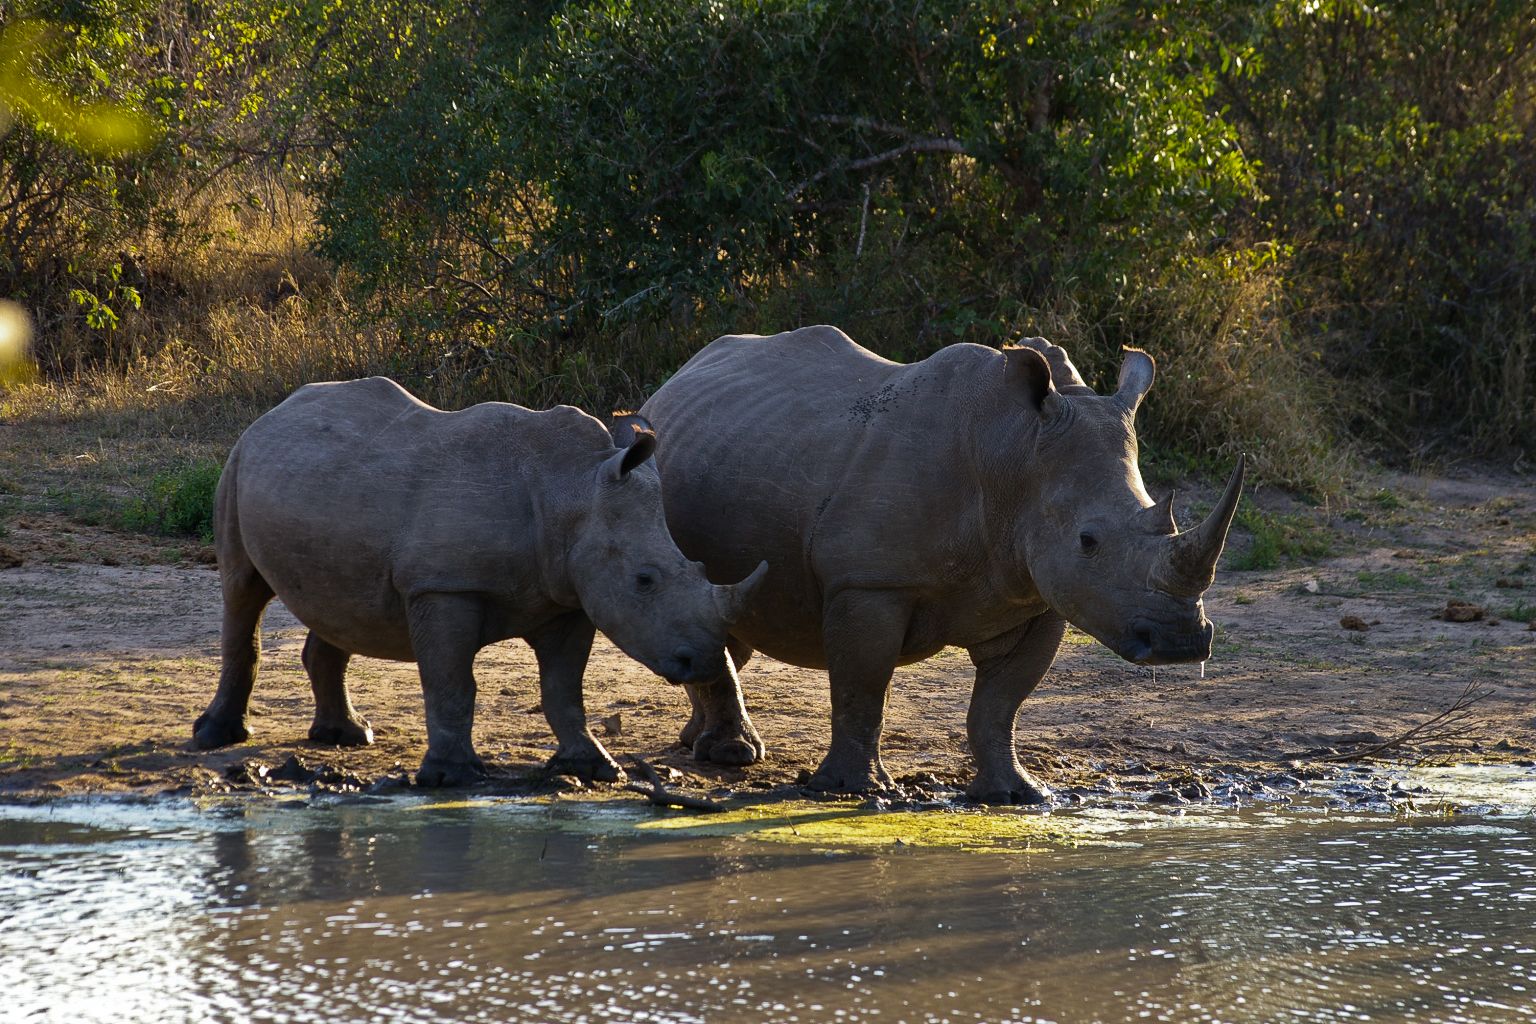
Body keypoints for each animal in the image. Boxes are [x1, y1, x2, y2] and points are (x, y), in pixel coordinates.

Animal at [192, 377, 767, 786]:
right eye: (645, 579)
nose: (703, 661)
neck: (569, 490)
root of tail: (276, 411)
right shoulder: (443, 585)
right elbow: (452, 682)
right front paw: (452, 776)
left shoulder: (569, 597)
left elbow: (564, 688)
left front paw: (593, 768)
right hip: (237, 464)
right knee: (243, 592)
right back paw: (216, 737)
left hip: (320, 485)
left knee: (337, 604)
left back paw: (347, 738)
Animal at [634, 326, 1244, 803]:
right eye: (1088, 541)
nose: (1183, 642)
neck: (1013, 454)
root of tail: (673, 383)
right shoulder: (870, 582)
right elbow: (861, 687)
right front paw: (853, 791)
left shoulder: (1038, 594)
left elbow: (1000, 703)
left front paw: (1017, 794)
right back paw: (732, 756)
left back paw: (703, 744)